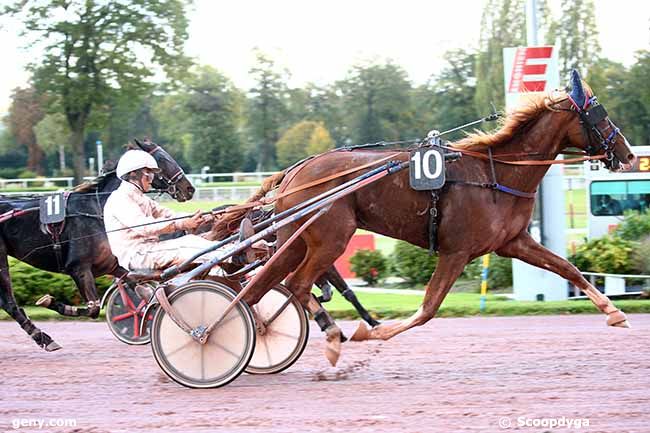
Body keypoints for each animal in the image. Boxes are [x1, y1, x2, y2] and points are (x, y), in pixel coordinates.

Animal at [0, 140, 195, 350]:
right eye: (162, 160)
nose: (189, 188)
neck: (97, 209)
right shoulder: (79, 268)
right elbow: (93, 309)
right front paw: (52, 302)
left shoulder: (115, 265)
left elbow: (144, 290)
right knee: (9, 302)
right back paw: (42, 337)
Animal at [240, 69, 636, 362]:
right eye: (600, 114)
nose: (629, 155)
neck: (496, 173)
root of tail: (297, 170)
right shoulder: (456, 251)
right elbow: (428, 309)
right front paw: (374, 330)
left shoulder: (513, 241)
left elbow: (567, 268)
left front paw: (614, 312)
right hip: (332, 237)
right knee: (296, 283)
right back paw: (325, 335)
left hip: (296, 240)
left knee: (270, 283)